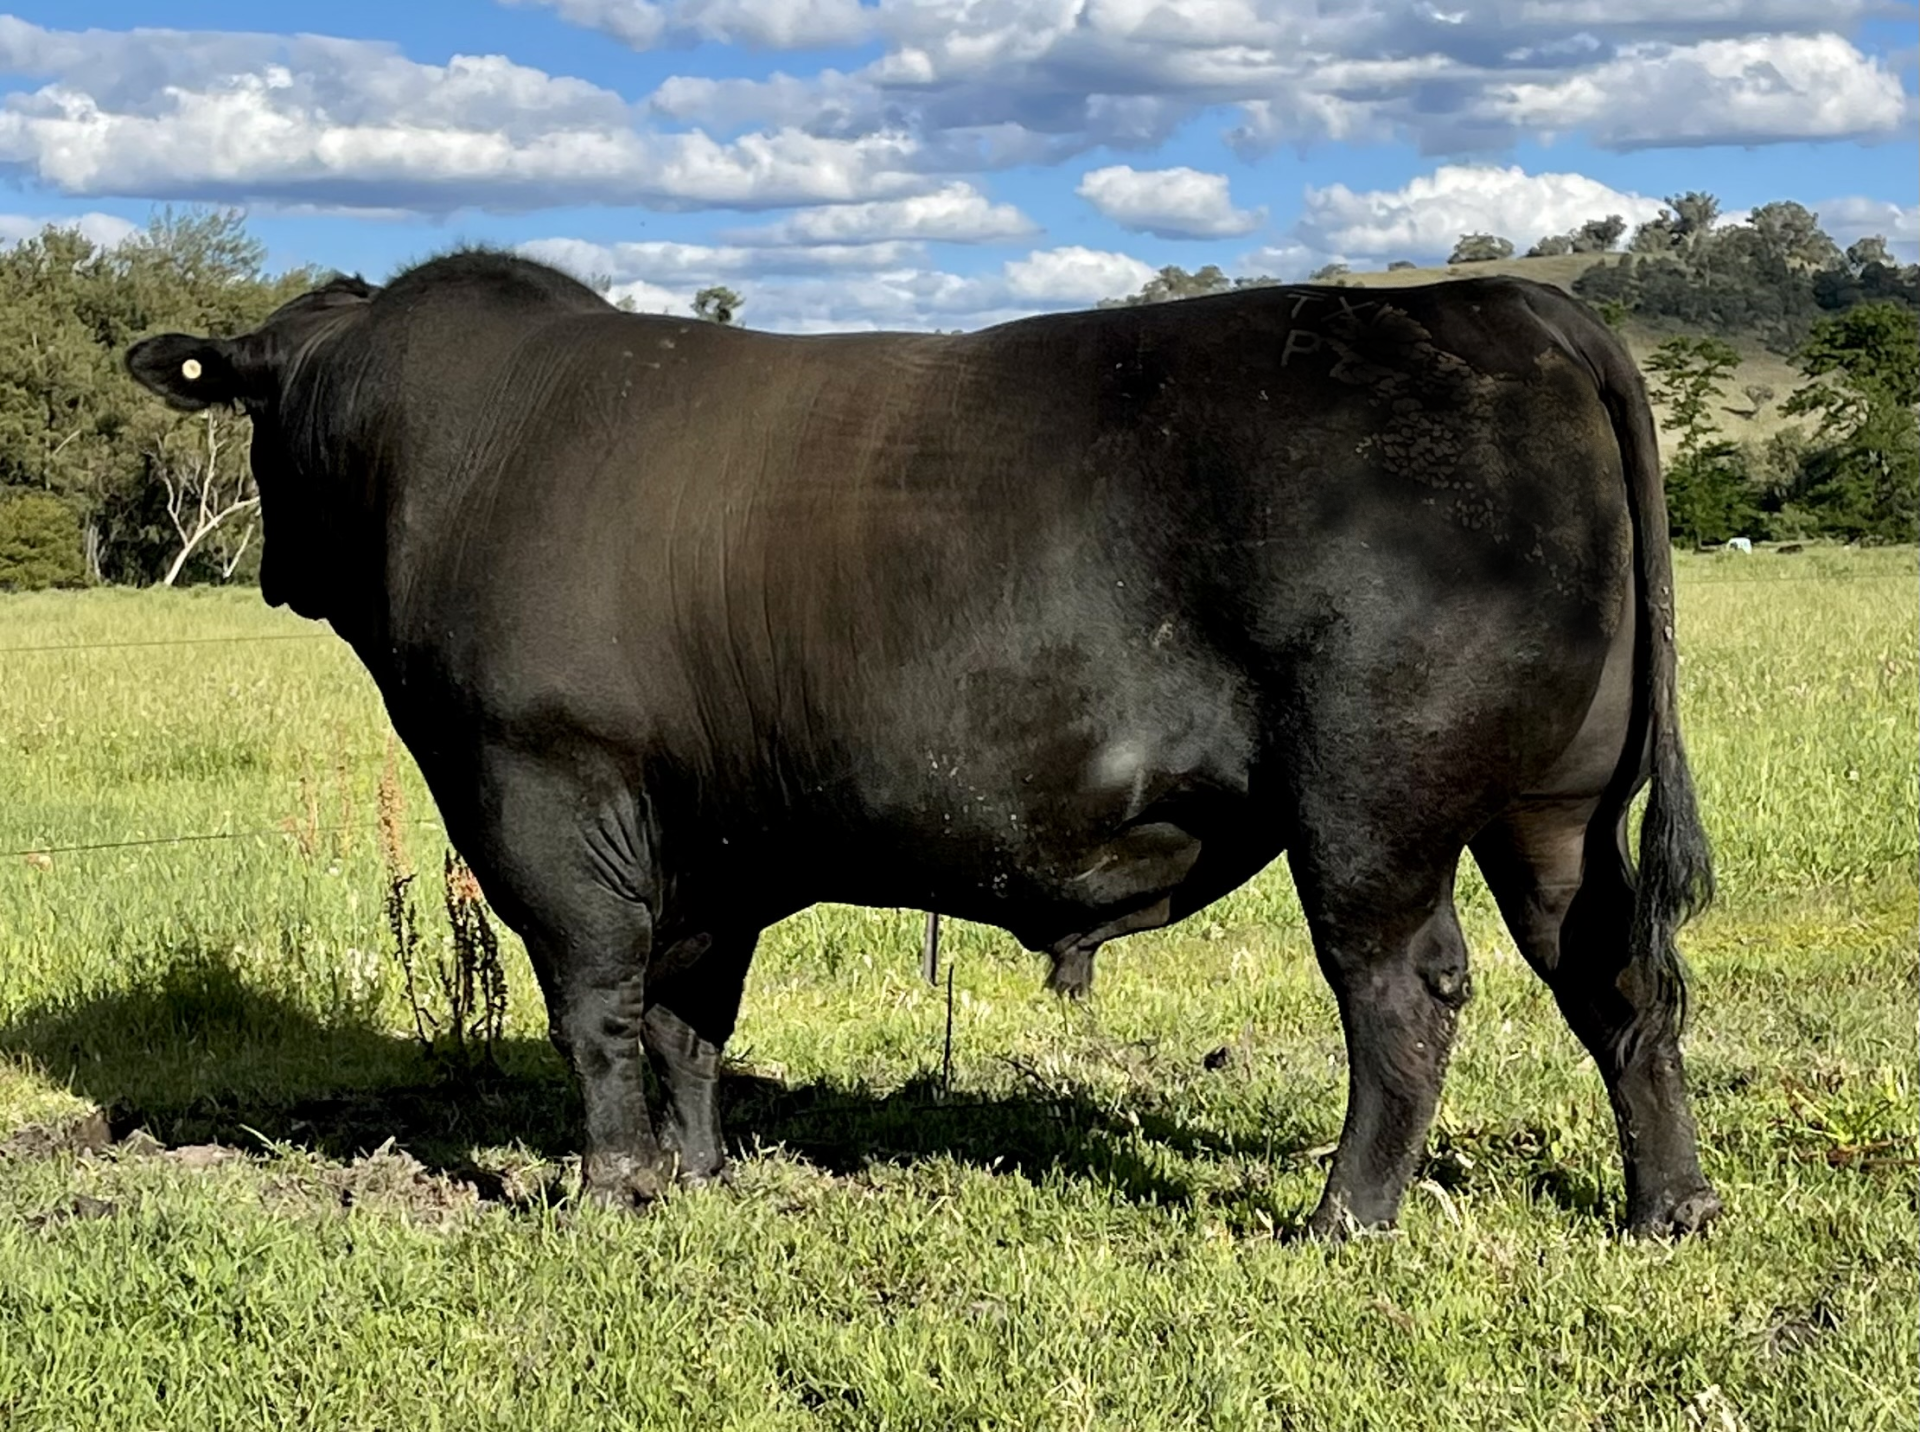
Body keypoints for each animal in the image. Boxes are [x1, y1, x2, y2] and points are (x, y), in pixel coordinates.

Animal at [125, 252, 1719, 1238]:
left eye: (256, 416)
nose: (274, 561)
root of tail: (1510, 307)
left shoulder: (538, 779)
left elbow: (595, 1001)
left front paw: (610, 1189)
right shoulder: (714, 828)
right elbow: (688, 1012)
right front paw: (699, 1174)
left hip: (1374, 804)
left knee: (1405, 995)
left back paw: (1343, 1217)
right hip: (1556, 803)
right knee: (1615, 974)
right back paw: (1669, 1207)